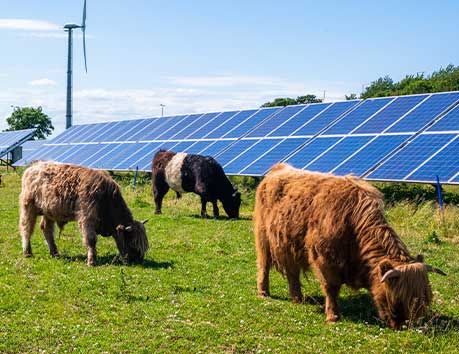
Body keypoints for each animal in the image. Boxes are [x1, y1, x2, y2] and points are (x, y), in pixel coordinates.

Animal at [19, 160, 150, 266]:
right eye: (132, 243)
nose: (138, 261)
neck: (106, 198)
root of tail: (33, 166)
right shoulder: (87, 218)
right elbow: (91, 240)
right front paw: (91, 261)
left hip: (49, 211)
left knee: (46, 229)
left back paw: (55, 253)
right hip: (28, 207)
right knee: (27, 229)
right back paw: (27, 252)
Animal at [255, 163, 446, 330]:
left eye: (425, 298)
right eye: (398, 298)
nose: (406, 326)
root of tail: (279, 168)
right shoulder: (323, 258)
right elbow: (331, 287)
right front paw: (333, 316)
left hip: (288, 244)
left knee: (292, 272)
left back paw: (297, 298)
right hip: (264, 237)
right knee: (264, 265)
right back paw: (263, 292)